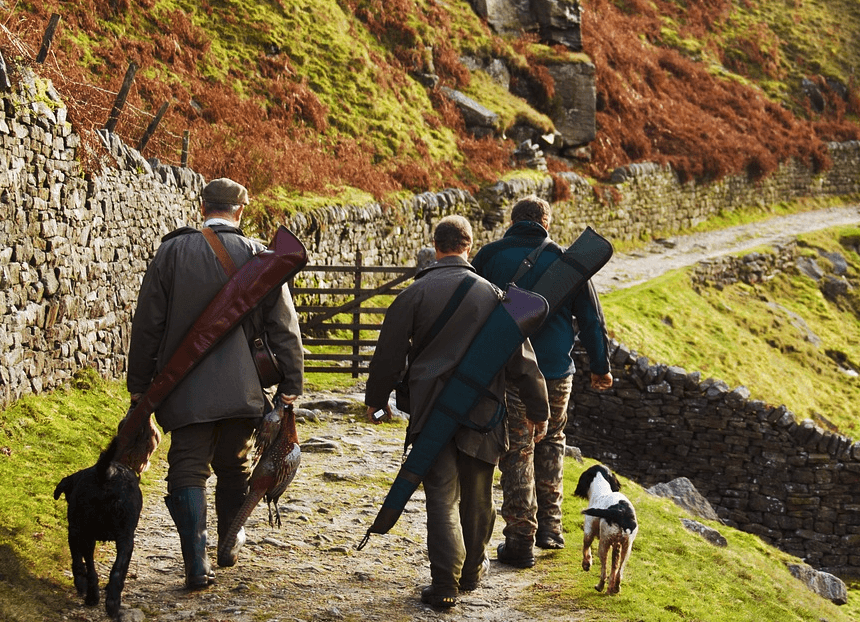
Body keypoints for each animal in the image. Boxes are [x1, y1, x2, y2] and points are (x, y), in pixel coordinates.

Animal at [53, 438, 143, 620]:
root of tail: (106, 473)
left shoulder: (75, 531)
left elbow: (79, 561)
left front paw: (81, 583)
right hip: (125, 538)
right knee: (116, 572)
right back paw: (112, 603)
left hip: (84, 531)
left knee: (90, 569)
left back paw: (91, 594)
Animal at [576, 466, 636, 596]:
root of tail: (620, 511)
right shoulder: (617, 545)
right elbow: (614, 568)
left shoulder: (588, 531)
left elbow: (586, 548)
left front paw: (586, 564)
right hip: (626, 547)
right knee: (618, 570)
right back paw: (614, 589)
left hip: (604, 544)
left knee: (604, 570)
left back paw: (600, 586)